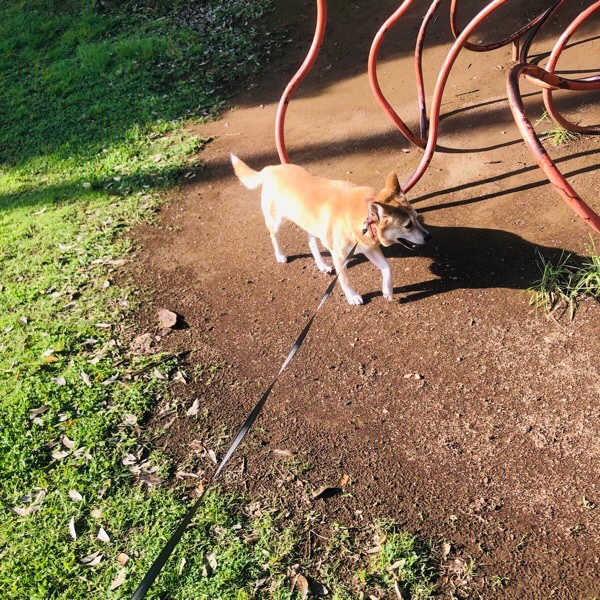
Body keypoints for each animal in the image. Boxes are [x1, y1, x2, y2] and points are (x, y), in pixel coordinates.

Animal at [231, 155, 431, 305]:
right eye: (408, 225)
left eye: (417, 217)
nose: (428, 237)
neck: (361, 217)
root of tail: (271, 168)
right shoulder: (340, 256)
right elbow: (345, 279)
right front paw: (352, 297)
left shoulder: (369, 248)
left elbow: (388, 268)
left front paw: (387, 290)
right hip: (276, 221)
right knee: (274, 237)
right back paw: (280, 255)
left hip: (312, 225)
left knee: (312, 244)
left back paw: (322, 265)